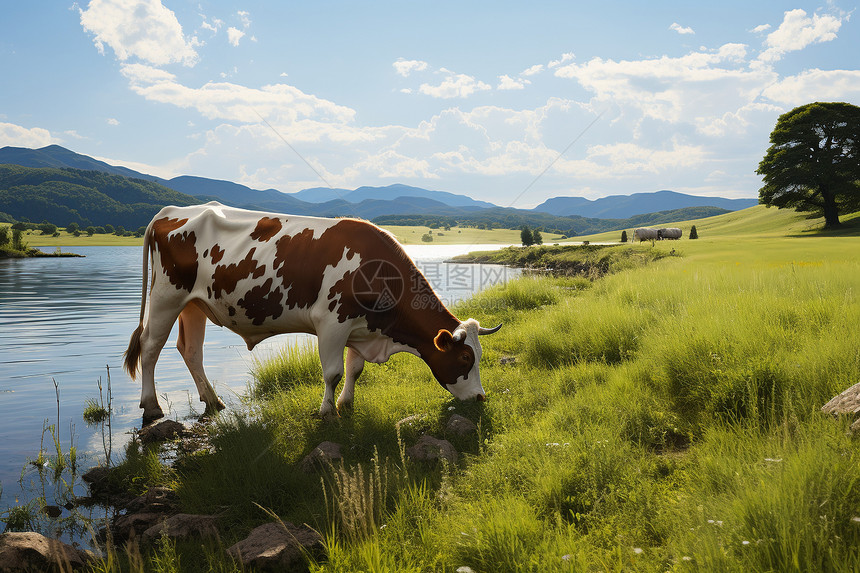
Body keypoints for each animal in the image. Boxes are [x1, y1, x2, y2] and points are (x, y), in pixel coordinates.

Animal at [126, 201, 504, 420]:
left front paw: (346, 404)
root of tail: (169, 211)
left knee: (190, 350)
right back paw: (152, 407)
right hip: (166, 297)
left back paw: (213, 401)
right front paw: (326, 411)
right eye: (465, 359)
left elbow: (354, 370)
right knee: (150, 346)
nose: (481, 398)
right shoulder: (332, 323)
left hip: (194, 304)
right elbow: (333, 372)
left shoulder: (358, 327)